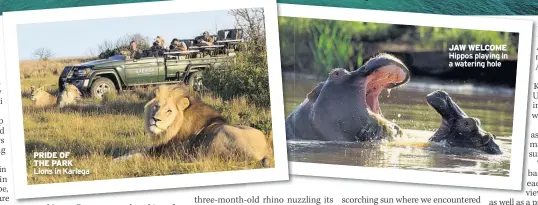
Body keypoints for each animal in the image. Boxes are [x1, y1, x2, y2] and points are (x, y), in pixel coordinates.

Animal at [113, 84, 272, 167]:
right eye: (156, 107)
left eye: (169, 111)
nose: (155, 119)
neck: (171, 130)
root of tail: (267, 151)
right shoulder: (159, 146)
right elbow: (135, 150)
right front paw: (117, 157)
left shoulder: (165, 152)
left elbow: (138, 155)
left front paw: (116, 161)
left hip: (220, 134)